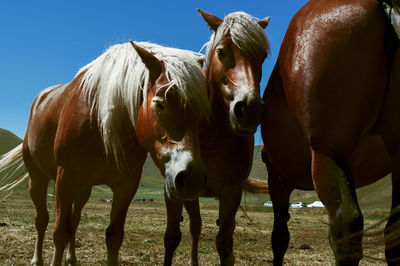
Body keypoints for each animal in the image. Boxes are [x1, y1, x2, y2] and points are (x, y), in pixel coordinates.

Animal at [0, 40, 211, 264]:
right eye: (160, 103)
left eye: (201, 112)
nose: (192, 179)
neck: (103, 124)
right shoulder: (65, 178)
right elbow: (59, 233)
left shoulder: (126, 186)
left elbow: (113, 236)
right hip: (38, 179)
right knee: (42, 219)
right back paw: (37, 259)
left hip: (83, 189)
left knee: (74, 220)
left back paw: (71, 259)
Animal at [164, 9, 270, 264]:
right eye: (221, 52)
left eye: (262, 56)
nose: (250, 110)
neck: (211, 136)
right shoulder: (178, 190)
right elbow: (174, 236)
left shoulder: (231, 192)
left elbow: (224, 243)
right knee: (195, 227)